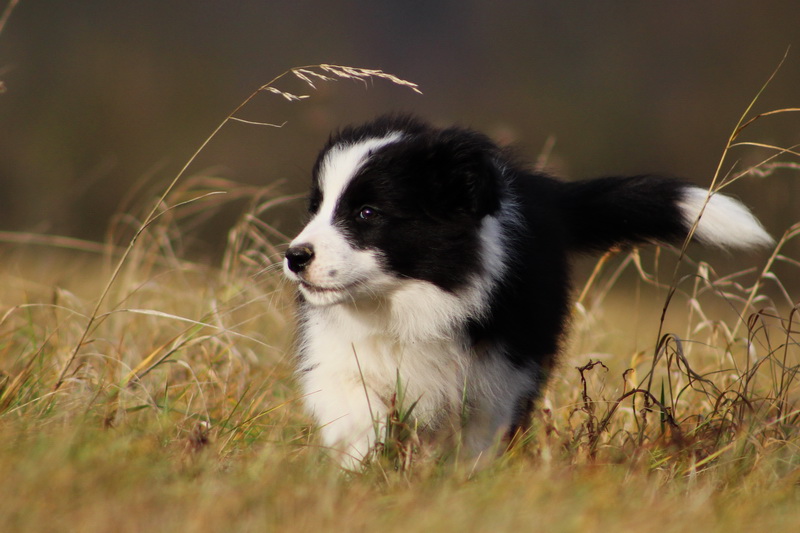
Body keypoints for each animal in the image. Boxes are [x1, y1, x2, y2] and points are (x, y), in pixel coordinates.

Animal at [282, 115, 776, 466]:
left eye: (367, 213)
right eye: (315, 208)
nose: (294, 257)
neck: (408, 303)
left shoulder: (501, 372)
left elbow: (479, 439)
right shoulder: (345, 357)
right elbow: (356, 413)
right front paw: (364, 474)